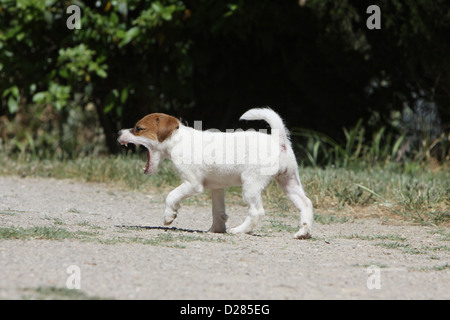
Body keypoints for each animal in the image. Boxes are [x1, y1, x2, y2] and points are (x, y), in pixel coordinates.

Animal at [117, 109, 312, 239]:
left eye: (138, 128)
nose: (119, 132)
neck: (178, 141)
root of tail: (278, 141)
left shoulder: (192, 184)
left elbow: (171, 196)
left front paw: (168, 216)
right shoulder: (217, 188)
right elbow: (218, 211)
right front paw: (215, 229)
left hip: (251, 183)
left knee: (257, 211)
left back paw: (239, 230)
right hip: (289, 181)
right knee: (306, 203)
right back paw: (304, 231)